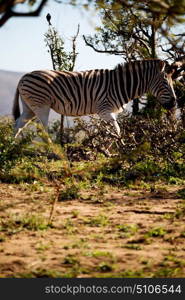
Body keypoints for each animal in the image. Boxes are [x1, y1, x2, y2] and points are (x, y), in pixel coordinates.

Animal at [12, 59, 177, 138]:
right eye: (165, 82)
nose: (174, 103)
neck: (120, 85)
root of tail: (23, 76)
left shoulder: (107, 112)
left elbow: (107, 130)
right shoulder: (104, 109)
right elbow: (117, 129)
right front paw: (121, 147)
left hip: (29, 107)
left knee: (18, 124)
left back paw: (11, 148)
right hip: (41, 105)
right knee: (42, 130)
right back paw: (52, 152)